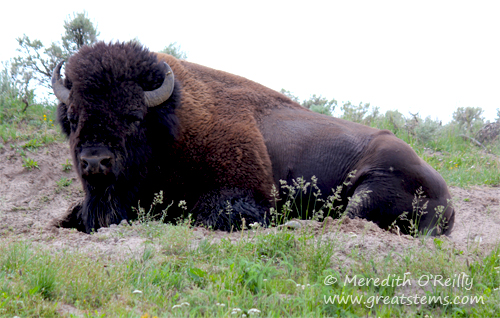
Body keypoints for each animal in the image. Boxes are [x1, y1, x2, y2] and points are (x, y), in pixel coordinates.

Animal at [52, 41, 456, 235]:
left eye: (134, 117)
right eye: (72, 118)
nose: (94, 161)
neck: (171, 124)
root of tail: (448, 199)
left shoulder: (241, 195)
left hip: (372, 185)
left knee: (346, 218)